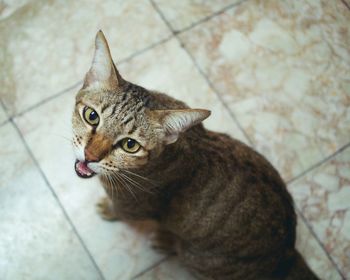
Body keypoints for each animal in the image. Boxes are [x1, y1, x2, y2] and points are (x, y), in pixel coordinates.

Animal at [72, 31, 318, 280]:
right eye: (91, 116)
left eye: (130, 145)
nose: (89, 155)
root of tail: (288, 251)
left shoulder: (132, 208)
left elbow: (120, 212)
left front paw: (108, 209)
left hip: (196, 258)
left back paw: (165, 240)